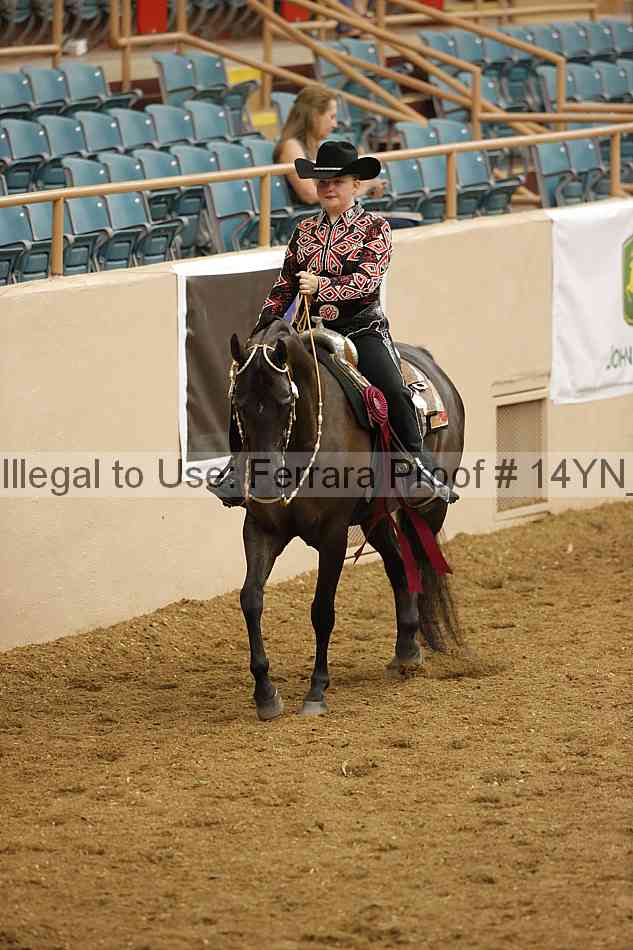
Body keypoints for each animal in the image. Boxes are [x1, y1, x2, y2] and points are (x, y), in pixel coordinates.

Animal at [228, 316, 465, 720]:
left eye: (285, 400)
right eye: (238, 402)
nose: (264, 479)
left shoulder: (333, 536)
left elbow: (322, 610)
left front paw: (316, 691)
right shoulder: (261, 529)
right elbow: (251, 599)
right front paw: (265, 693)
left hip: (431, 508)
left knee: (420, 566)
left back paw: (419, 643)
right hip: (377, 516)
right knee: (398, 568)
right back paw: (406, 650)